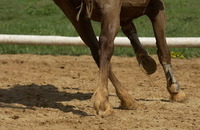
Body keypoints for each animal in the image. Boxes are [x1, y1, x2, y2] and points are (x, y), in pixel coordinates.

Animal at [53, 0, 186, 117]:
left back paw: (126, 99)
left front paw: (145, 59)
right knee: (106, 45)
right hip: (109, 10)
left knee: (96, 51)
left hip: (75, 15)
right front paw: (175, 90)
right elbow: (163, 50)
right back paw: (103, 102)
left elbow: (129, 29)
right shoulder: (156, 7)